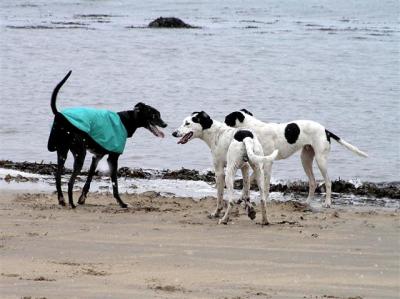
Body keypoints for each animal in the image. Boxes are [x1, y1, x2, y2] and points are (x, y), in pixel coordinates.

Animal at [225, 110, 368, 209]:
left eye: (227, 119)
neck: (256, 129)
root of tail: (325, 131)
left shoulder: (268, 163)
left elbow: (265, 185)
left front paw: (265, 199)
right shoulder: (259, 163)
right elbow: (249, 180)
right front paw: (242, 198)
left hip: (321, 160)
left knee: (328, 182)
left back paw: (327, 203)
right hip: (305, 159)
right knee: (313, 182)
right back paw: (307, 202)